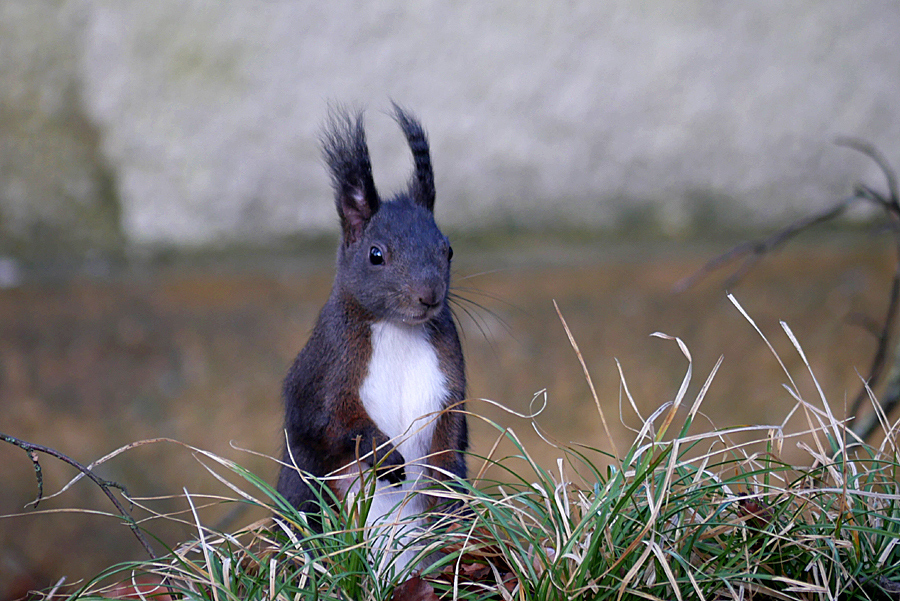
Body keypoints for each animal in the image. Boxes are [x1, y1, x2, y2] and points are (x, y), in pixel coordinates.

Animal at [278, 103, 468, 564]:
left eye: (448, 250)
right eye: (375, 255)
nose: (428, 296)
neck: (397, 329)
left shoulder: (449, 379)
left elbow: (451, 432)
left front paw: (448, 481)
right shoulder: (329, 367)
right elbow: (331, 422)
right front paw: (387, 457)